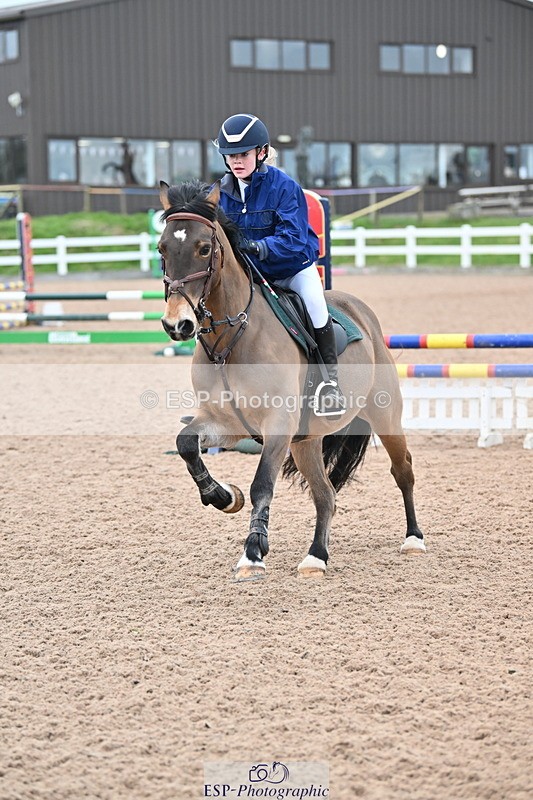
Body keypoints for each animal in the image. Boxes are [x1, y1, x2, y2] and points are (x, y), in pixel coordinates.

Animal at [158, 179, 425, 581]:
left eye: (204, 248)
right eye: (162, 248)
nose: (178, 324)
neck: (230, 340)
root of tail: (361, 312)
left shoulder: (277, 426)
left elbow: (262, 485)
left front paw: (253, 553)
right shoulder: (225, 423)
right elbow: (187, 444)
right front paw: (223, 497)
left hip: (385, 416)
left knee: (402, 470)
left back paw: (413, 539)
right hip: (307, 441)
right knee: (326, 495)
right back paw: (316, 556)